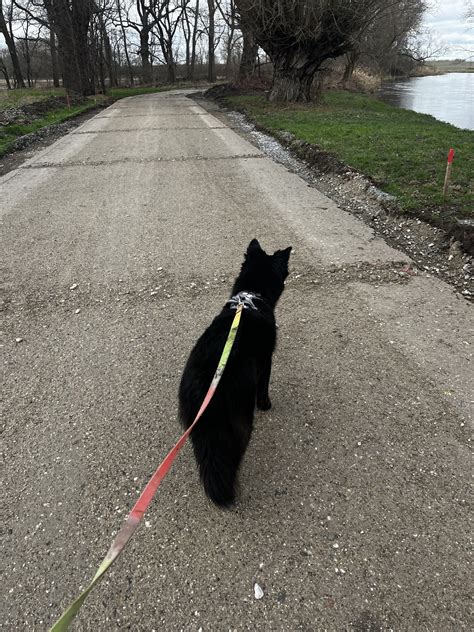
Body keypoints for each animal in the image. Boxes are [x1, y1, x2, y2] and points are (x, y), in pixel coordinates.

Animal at [178, 239, 290, 506]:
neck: (251, 297)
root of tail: (203, 385)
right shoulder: (266, 362)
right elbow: (264, 388)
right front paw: (266, 405)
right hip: (240, 421)